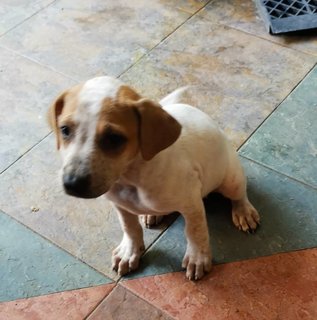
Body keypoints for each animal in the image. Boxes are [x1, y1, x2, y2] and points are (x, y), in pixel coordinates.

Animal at [47, 77, 260, 280]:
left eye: (114, 138)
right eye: (64, 130)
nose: (72, 183)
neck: (131, 178)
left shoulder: (192, 203)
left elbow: (195, 231)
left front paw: (198, 258)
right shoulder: (120, 205)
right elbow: (130, 227)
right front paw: (130, 252)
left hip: (230, 179)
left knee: (239, 194)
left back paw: (243, 211)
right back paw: (152, 215)